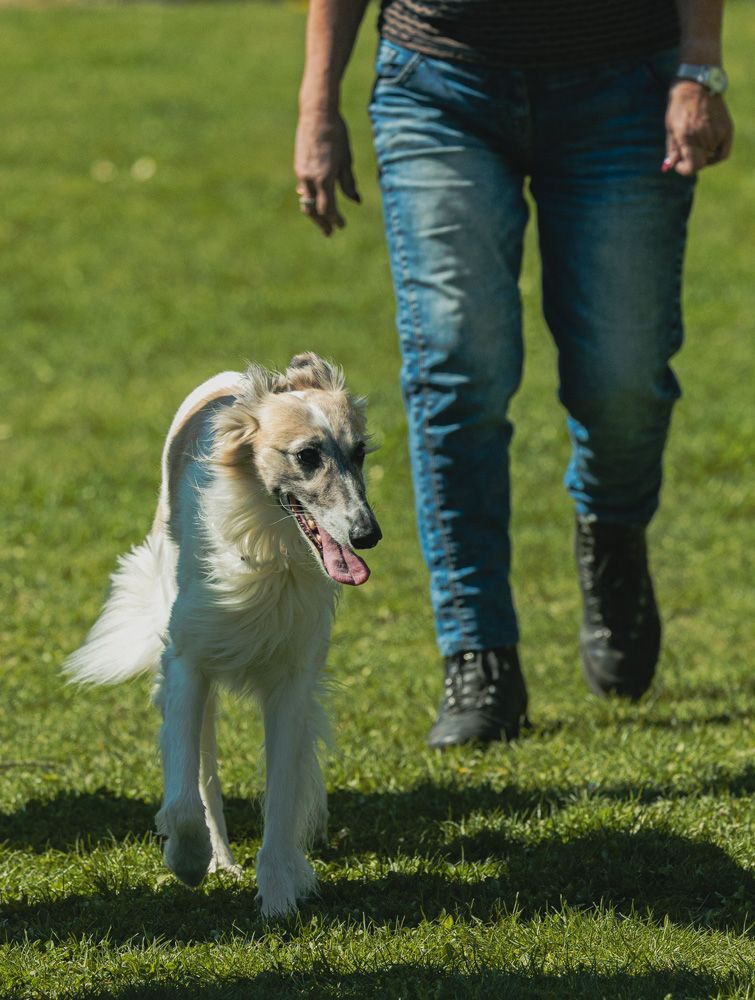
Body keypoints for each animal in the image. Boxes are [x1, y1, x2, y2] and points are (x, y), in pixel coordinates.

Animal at [65, 353, 381, 916]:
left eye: (360, 451)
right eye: (307, 455)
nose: (368, 534)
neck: (270, 552)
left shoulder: (292, 683)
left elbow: (280, 798)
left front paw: (278, 893)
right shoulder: (187, 663)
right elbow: (185, 799)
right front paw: (188, 861)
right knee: (205, 778)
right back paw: (219, 861)